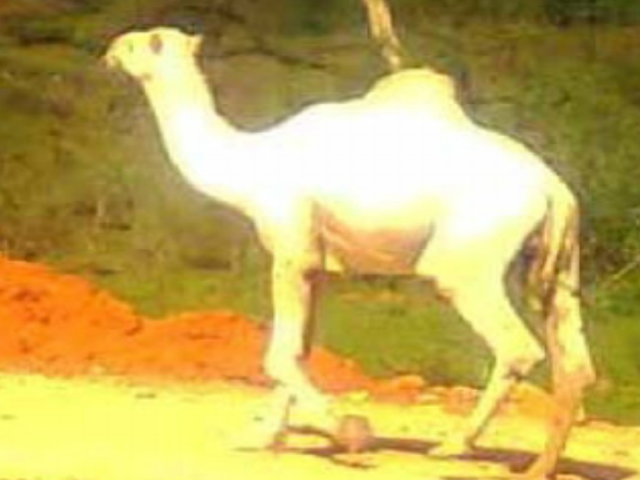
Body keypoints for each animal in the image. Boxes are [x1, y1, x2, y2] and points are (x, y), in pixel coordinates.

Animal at [104, 27, 595, 479]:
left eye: (139, 42)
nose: (110, 50)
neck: (249, 167)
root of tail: (554, 189)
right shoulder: (316, 263)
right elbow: (297, 350)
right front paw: (262, 436)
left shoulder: (291, 247)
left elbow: (279, 354)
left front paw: (345, 431)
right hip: (558, 265)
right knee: (575, 361)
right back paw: (541, 465)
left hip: (464, 260)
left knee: (517, 348)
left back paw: (454, 445)